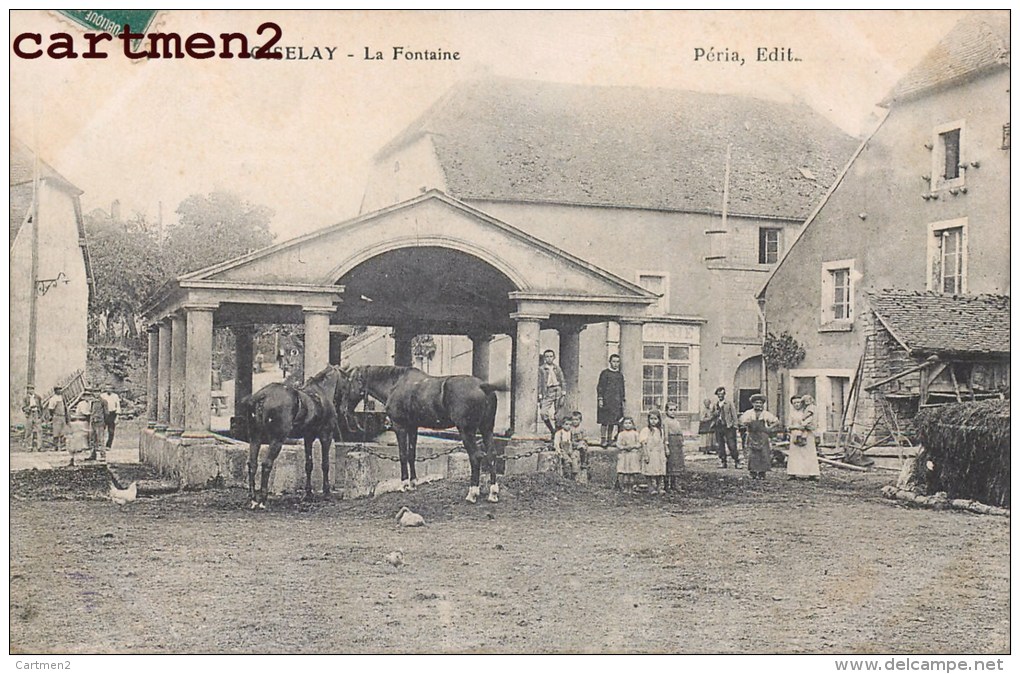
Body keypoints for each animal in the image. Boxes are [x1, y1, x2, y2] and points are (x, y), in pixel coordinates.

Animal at [239, 365, 346, 507]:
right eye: (346, 381)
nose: (344, 409)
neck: (321, 393)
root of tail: (263, 396)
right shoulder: (326, 436)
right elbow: (325, 464)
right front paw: (327, 493)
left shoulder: (308, 438)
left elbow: (309, 464)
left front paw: (308, 494)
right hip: (277, 441)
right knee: (266, 464)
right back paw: (262, 498)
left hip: (255, 438)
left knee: (252, 464)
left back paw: (252, 497)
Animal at [342, 365, 501, 501]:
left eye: (349, 382)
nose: (344, 410)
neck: (395, 384)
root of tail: (482, 386)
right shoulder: (413, 427)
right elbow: (411, 454)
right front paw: (413, 483)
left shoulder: (400, 427)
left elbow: (403, 455)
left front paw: (404, 484)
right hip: (487, 429)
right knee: (492, 455)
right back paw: (493, 493)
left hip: (466, 431)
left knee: (476, 457)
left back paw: (472, 493)